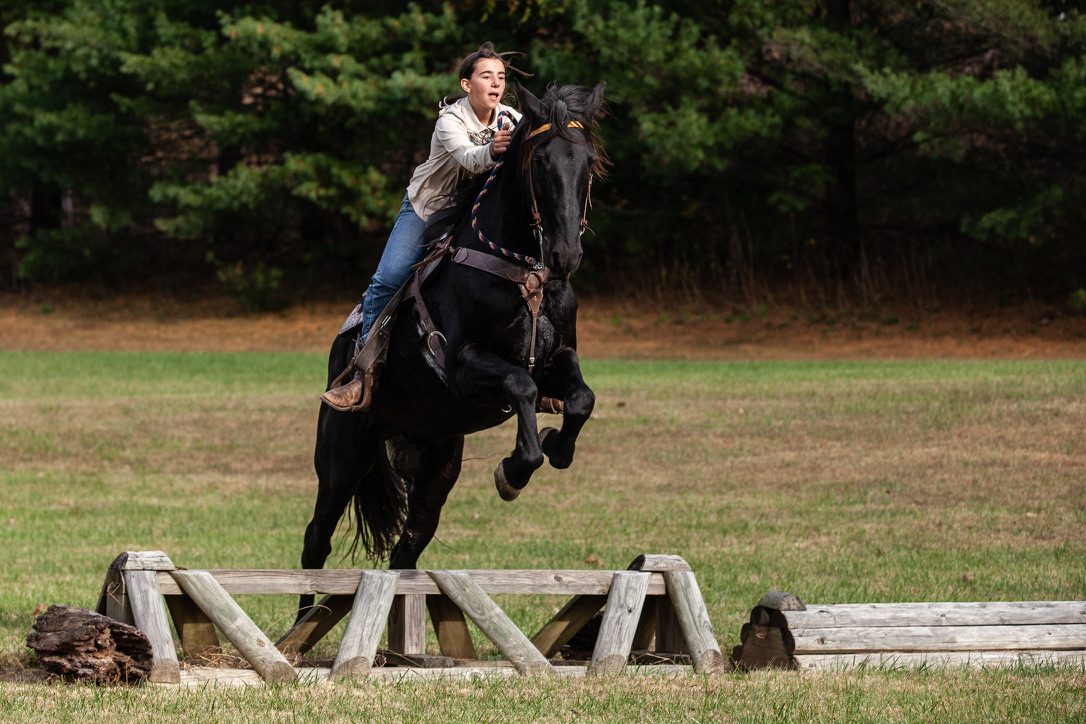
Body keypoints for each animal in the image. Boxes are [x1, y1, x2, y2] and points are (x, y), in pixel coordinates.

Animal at [297, 82, 607, 618]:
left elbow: (580, 398)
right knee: (316, 539)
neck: (522, 274)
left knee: (407, 548)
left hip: (436, 466)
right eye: (541, 162)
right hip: (342, 456)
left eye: (586, 161)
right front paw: (514, 471)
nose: (566, 255)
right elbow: (521, 386)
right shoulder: (462, 366)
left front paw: (556, 446)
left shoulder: (558, 359)